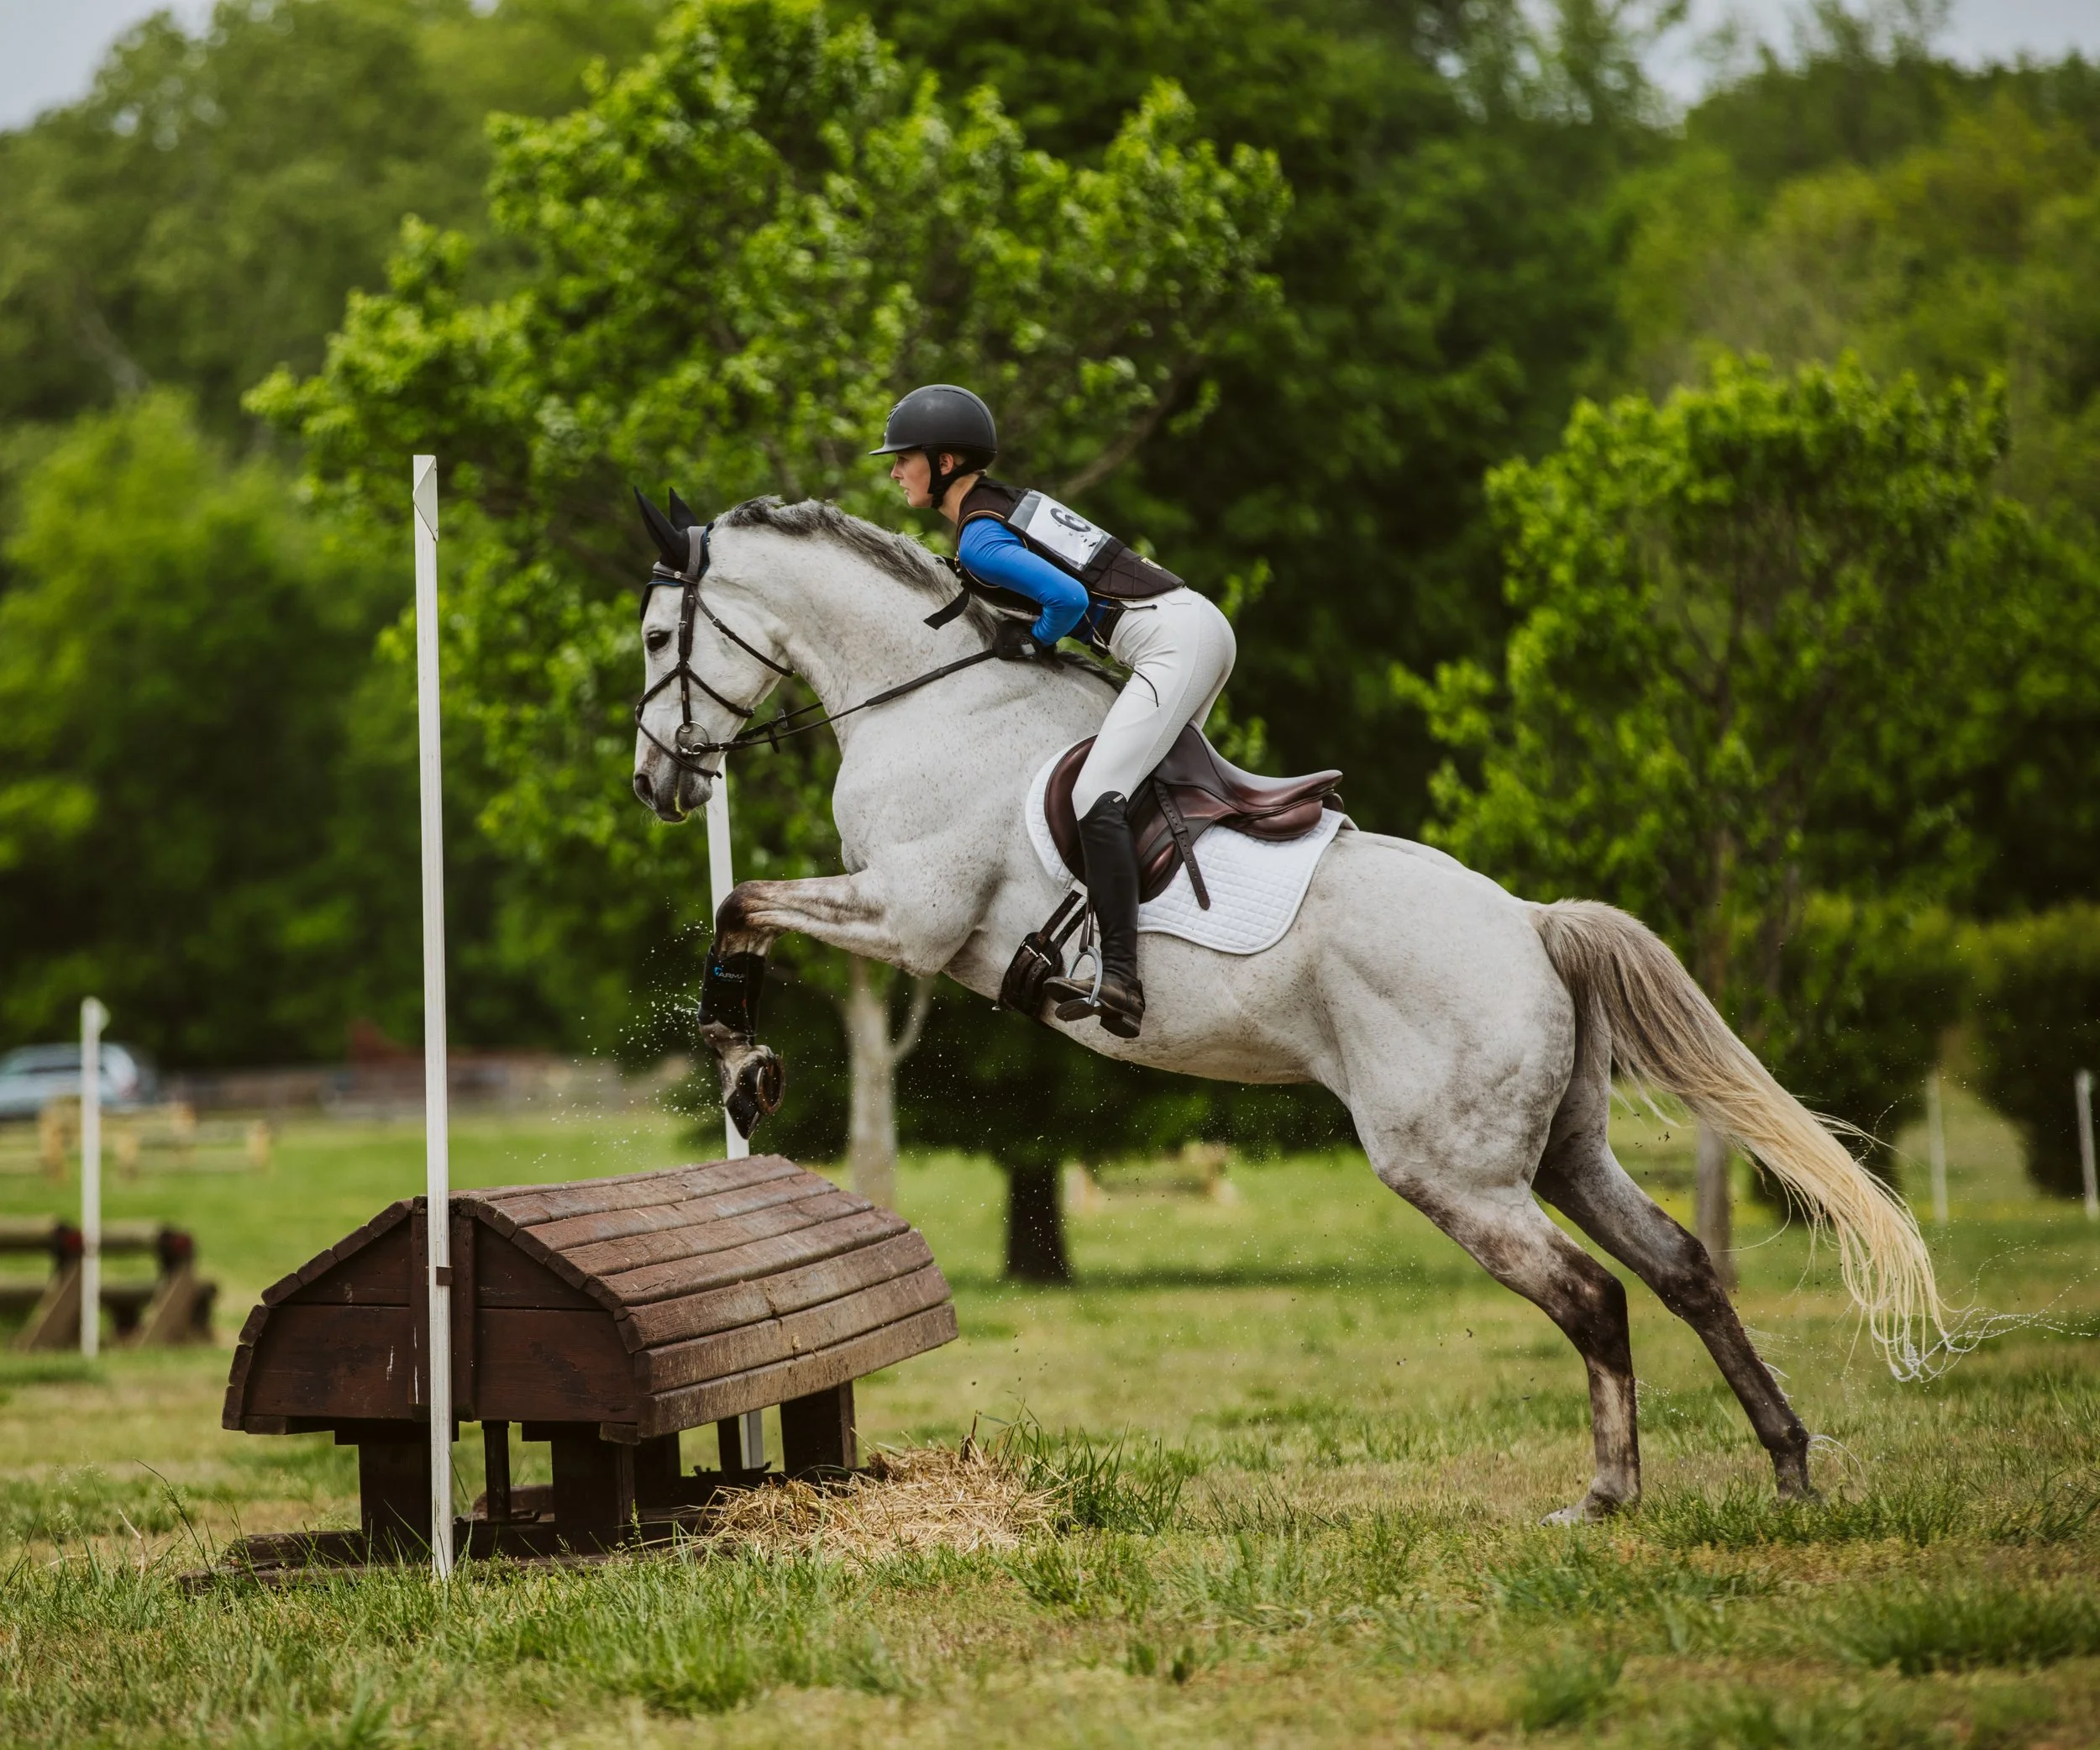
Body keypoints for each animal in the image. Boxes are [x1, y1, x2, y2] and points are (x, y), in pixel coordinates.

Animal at [629, 494, 1949, 1523]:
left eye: (652, 634)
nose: (656, 781)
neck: (922, 697)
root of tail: (1531, 921)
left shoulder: (910, 916)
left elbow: (744, 901)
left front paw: (742, 1061)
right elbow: (749, 904)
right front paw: (745, 1064)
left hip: (1450, 1169)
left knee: (1593, 1295)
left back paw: (1607, 1494)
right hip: (1562, 1149)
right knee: (1680, 1265)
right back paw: (1787, 1463)